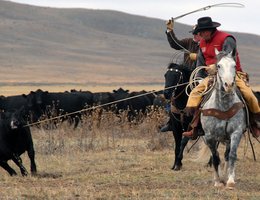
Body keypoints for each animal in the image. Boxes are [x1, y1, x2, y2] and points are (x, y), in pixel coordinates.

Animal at [200, 49, 247, 188]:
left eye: (234, 65)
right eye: (219, 66)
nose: (229, 85)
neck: (224, 106)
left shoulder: (236, 133)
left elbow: (231, 155)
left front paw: (230, 180)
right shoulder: (209, 137)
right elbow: (215, 158)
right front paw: (217, 181)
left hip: (227, 139)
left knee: (226, 155)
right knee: (216, 156)